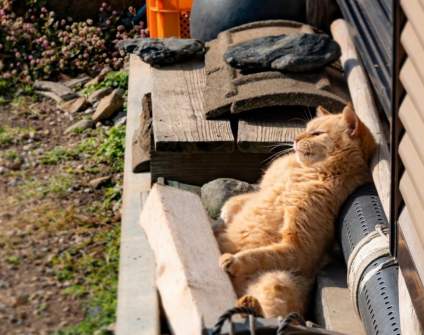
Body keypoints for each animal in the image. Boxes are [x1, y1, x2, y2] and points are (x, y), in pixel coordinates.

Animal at [217, 103, 376, 318]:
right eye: (306, 129)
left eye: (317, 133)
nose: (296, 139)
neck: (310, 172)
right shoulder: (266, 188)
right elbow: (247, 198)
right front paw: (228, 210)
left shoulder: (298, 248)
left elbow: (259, 255)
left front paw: (233, 260)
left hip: (278, 279)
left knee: (276, 314)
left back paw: (249, 305)